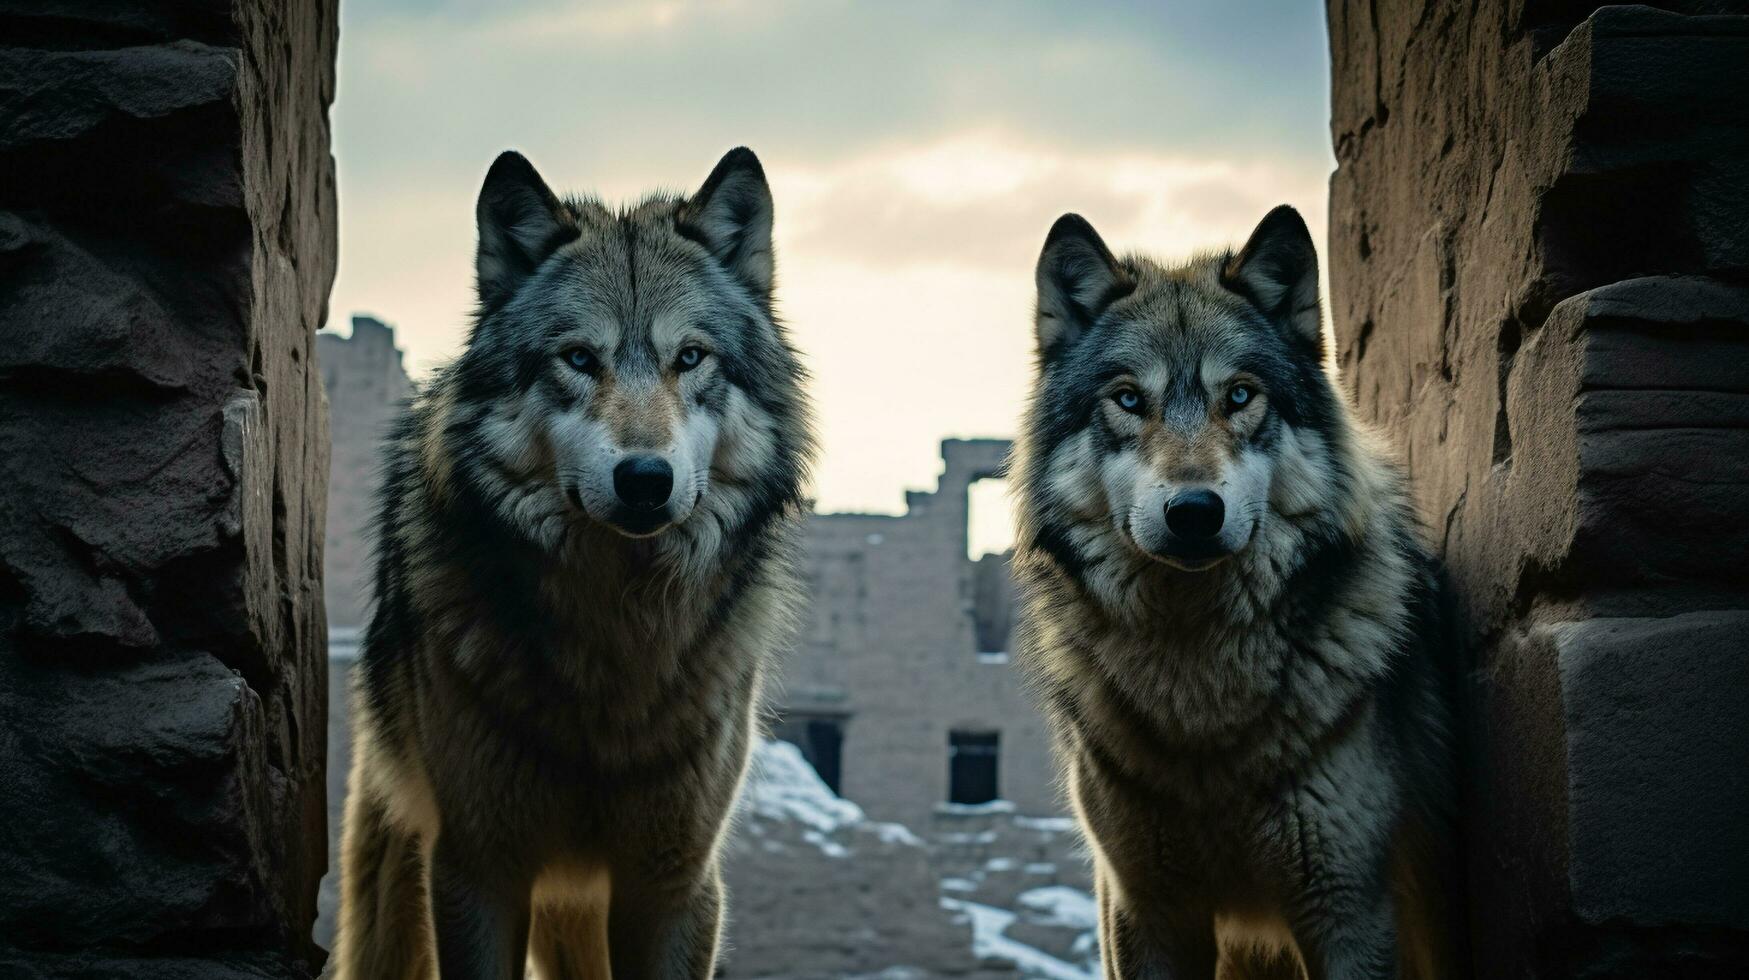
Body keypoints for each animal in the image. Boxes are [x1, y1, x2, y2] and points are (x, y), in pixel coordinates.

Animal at [331, 147, 813, 980]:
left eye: (691, 357)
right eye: (579, 359)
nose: (645, 479)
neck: (617, 635)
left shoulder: (674, 883)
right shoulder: (477, 871)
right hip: (400, 880)